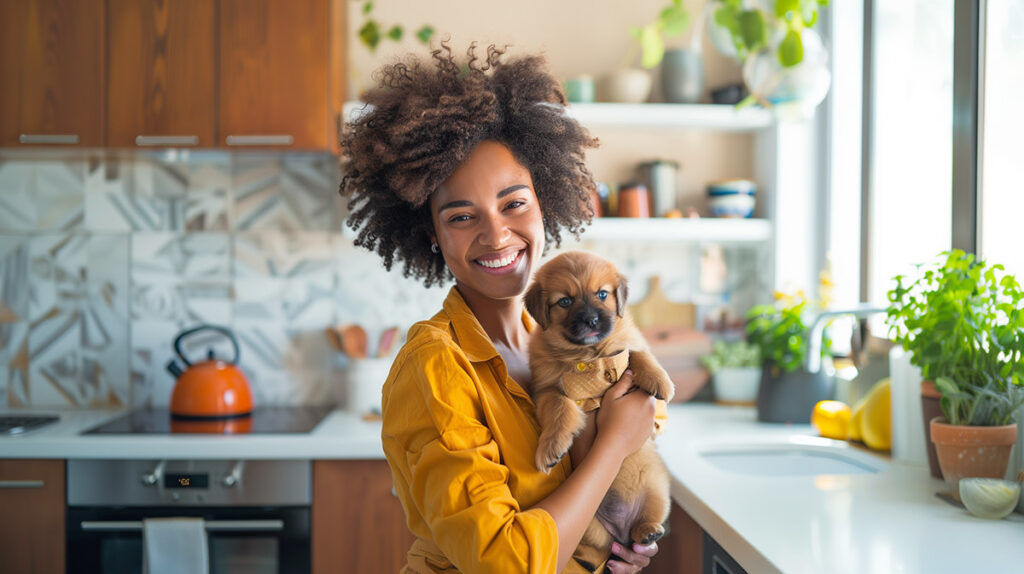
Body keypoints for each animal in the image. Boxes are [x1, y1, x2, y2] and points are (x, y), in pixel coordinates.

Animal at [524, 249, 675, 560]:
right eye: (565, 301)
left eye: (602, 294)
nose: (592, 320)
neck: (588, 354)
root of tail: (621, 528)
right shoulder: (544, 390)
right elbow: (559, 405)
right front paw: (552, 446)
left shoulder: (625, 345)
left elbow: (637, 353)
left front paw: (660, 380)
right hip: (589, 525)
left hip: (657, 490)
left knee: (644, 525)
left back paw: (648, 530)